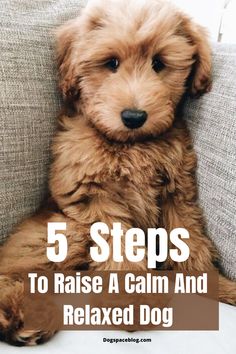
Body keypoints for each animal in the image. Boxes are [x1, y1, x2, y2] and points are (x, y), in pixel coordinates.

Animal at [0, 0, 236, 348]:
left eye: (159, 63)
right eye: (111, 63)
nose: (134, 116)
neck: (131, 144)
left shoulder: (177, 193)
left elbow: (191, 242)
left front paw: (218, 286)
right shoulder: (94, 197)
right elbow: (122, 247)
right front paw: (132, 304)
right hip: (59, 232)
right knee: (17, 272)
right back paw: (22, 316)